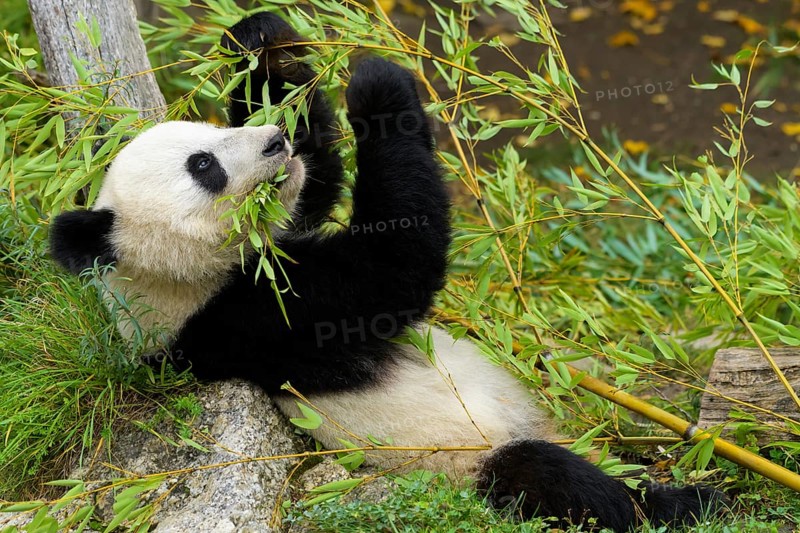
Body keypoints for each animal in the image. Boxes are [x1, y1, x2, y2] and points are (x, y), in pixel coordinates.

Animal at [49, 12, 723, 531]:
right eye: (204, 165)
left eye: (213, 130)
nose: (272, 143)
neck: (173, 283)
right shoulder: (255, 317)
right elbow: (394, 267)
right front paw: (375, 85)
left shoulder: (278, 246)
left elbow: (317, 181)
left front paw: (259, 44)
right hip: (463, 458)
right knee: (557, 482)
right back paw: (686, 500)